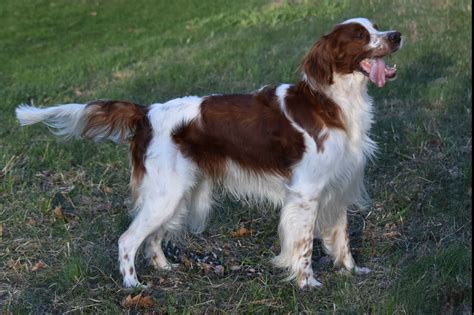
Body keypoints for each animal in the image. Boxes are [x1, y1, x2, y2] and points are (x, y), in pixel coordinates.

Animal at [15, 16, 400, 288]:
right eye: (360, 36)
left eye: (377, 27)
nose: (397, 36)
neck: (332, 103)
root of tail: (146, 113)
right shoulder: (306, 193)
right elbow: (303, 245)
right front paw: (307, 283)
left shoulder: (339, 184)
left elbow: (342, 238)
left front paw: (351, 272)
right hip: (166, 194)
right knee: (127, 240)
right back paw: (133, 285)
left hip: (178, 194)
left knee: (153, 239)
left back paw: (166, 269)